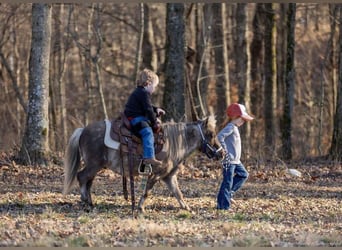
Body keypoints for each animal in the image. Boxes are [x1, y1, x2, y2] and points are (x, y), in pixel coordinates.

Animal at [62, 115, 218, 213]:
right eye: (210, 134)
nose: (221, 153)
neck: (174, 143)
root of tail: (83, 130)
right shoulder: (156, 174)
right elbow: (147, 190)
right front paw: (140, 208)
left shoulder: (169, 176)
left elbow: (177, 193)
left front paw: (187, 208)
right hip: (93, 165)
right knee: (82, 177)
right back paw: (85, 202)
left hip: (96, 166)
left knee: (88, 181)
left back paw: (90, 202)